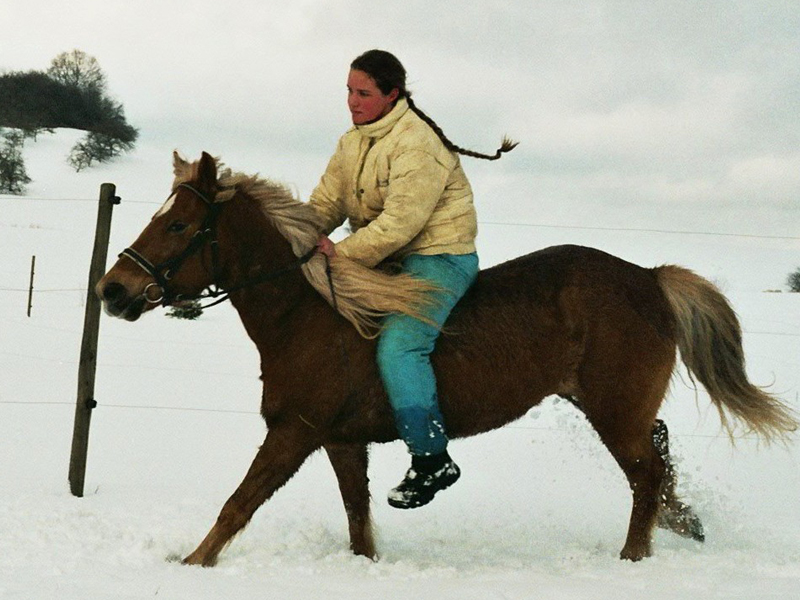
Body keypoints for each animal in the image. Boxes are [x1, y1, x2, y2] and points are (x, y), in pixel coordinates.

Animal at [96, 152, 796, 567]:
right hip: (611, 405)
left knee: (646, 475)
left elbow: (237, 504)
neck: (308, 313)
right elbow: (357, 519)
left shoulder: (293, 433)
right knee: (663, 453)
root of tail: (650, 277)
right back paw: (687, 523)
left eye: (179, 226)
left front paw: (193, 563)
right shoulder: (339, 441)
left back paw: (633, 558)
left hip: (614, 411)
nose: (113, 291)